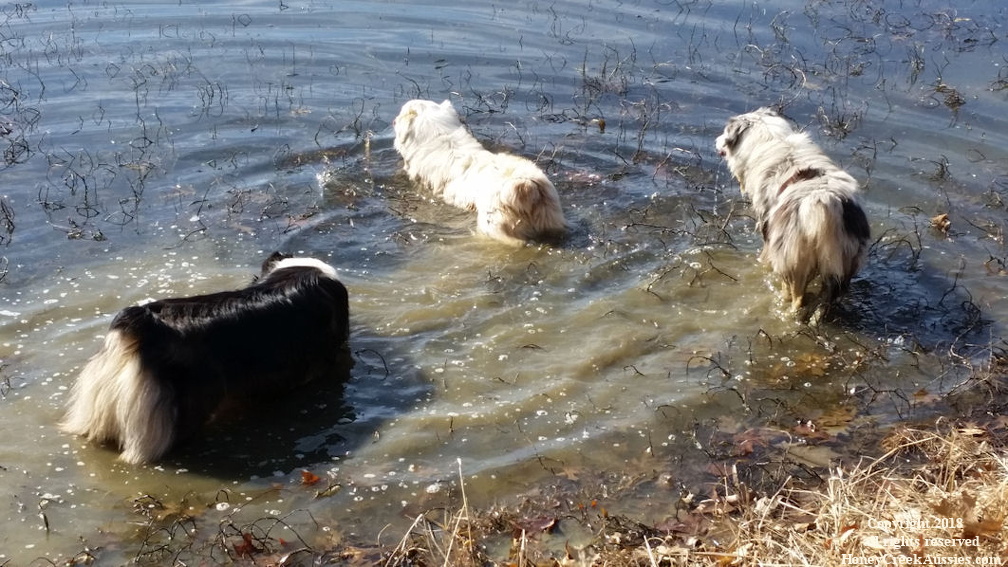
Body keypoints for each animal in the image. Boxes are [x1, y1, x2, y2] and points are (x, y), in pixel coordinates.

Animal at [713, 106, 870, 318]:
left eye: (725, 132)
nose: (715, 140)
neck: (772, 140)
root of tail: (823, 202)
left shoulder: (767, 230)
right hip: (843, 264)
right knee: (828, 298)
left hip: (792, 257)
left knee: (796, 296)